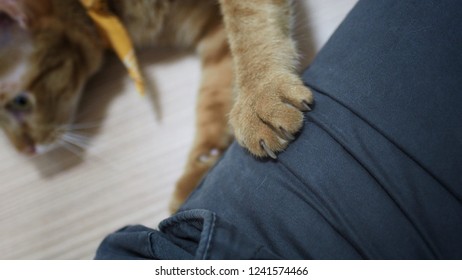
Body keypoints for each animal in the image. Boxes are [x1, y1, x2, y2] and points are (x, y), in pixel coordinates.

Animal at [0, 0, 312, 212]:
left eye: (20, 101)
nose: (25, 151)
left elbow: (246, 21)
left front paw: (260, 91)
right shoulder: (212, 30)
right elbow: (213, 97)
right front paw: (202, 165)